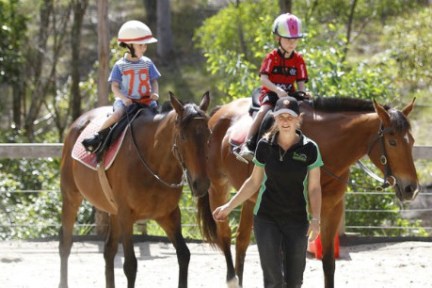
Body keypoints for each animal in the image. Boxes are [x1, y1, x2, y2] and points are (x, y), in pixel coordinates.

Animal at [58, 92, 211, 288]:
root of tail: (77, 123)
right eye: (183, 137)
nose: (202, 184)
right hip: (71, 198)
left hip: (113, 211)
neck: (152, 162)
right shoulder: (126, 216)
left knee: (108, 251)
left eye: (208, 135)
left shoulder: (168, 215)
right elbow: (130, 265)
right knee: (65, 245)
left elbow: (184, 255)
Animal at [197, 95, 420, 286]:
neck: (325, 149)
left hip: (251, 200)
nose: (411, 188)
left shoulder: (332, 209)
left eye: (412, 141)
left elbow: (328, 263)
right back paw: (232, 278)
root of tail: (218, 114)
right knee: (225, 235)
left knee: (241, 242)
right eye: (392, 142)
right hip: (218, 188)